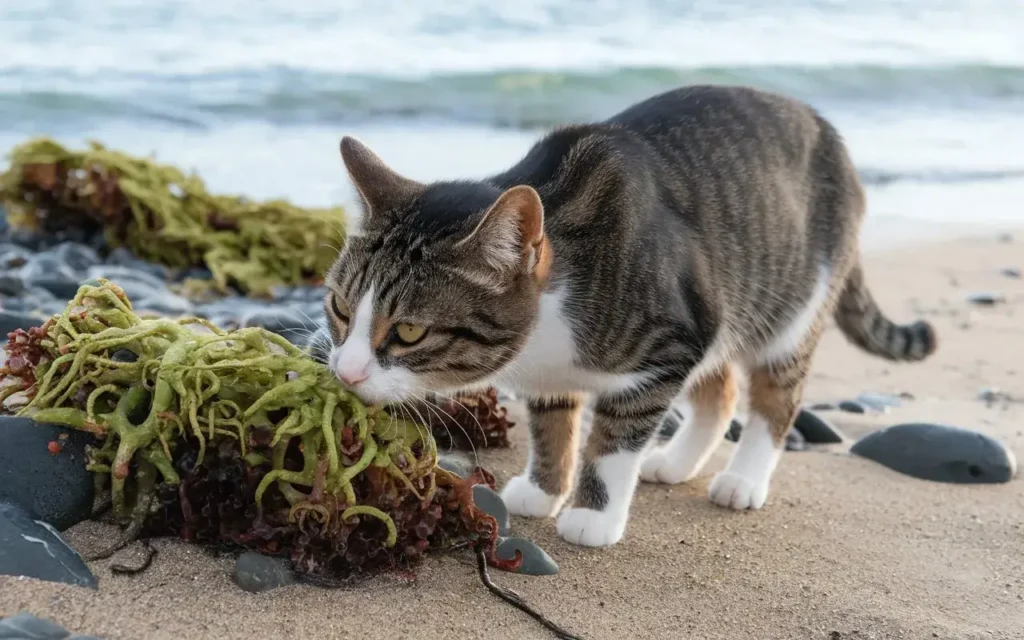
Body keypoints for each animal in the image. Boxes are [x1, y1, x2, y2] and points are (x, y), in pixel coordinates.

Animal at [319, 82, 937, 544]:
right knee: (720, 390)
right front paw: (544, 489)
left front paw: (593, 514)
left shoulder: (671, 341)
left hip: (785, 305)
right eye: (340, 308)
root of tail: (825, 128)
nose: (345, 373)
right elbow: (552, 422)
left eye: (409, 331)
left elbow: (615, 440)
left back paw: (743, 478)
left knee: (776, 396)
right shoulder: (566, 367)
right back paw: (677, 461)